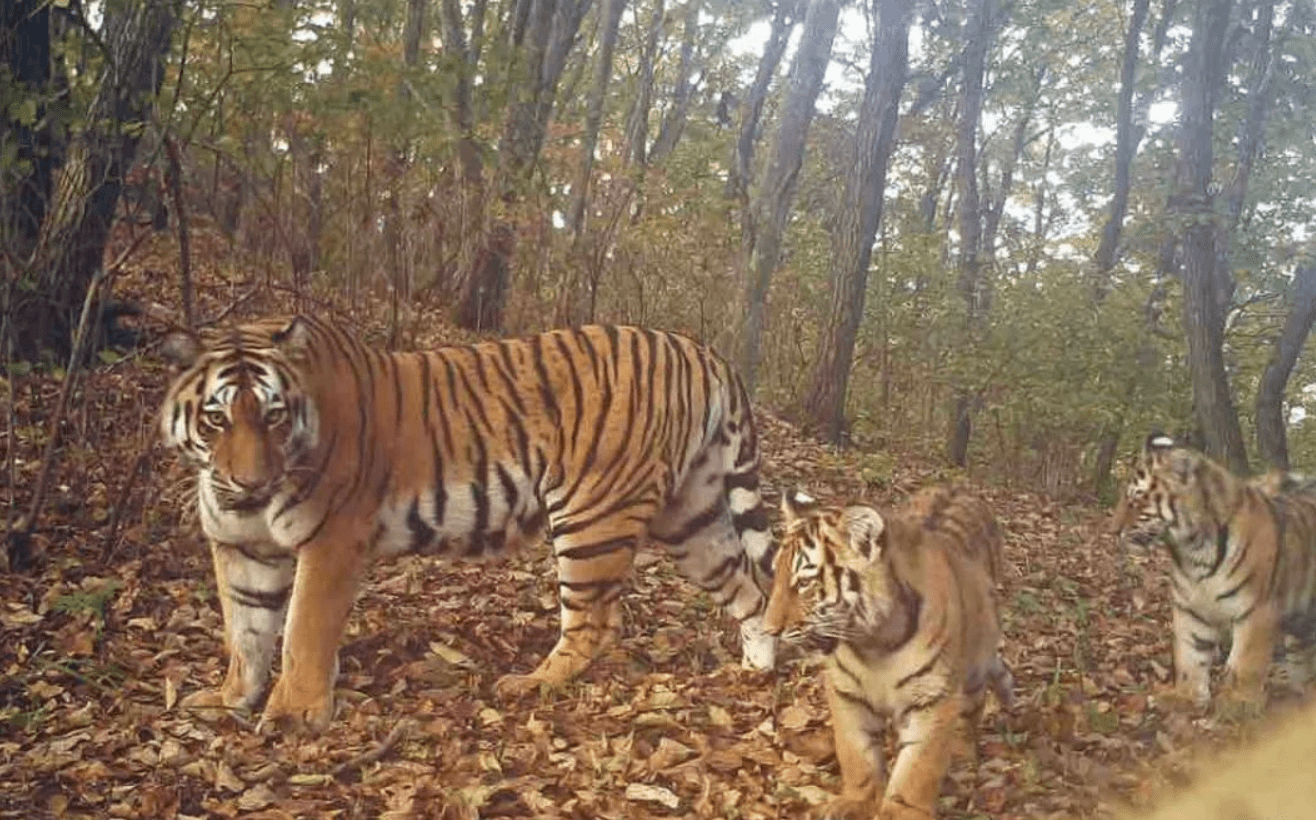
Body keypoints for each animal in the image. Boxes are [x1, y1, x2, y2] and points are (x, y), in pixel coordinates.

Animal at [159, 315, 778, 731]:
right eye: (216, 419)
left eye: (273, 415)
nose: (251, 482)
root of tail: (701, 351)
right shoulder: (242, 548)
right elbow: (245, 630)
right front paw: (229, 699)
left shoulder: (331, 540)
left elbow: (301, 633)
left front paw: (293, 716)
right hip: (692, 518)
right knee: (751, 589)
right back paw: (758, 671)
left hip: (592, 514)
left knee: (597, 622)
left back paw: (531, 684)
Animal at [763, 485, 1013, 820]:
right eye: (775, 574)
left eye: (804, 583)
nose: (768, 630)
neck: (875, 644)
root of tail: (959, 489)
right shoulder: (847, 693)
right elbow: (856, 754)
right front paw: (857, 801)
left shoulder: (933, 698)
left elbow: (918, 770)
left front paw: (900, 811)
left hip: (975, 664)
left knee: (972, 707)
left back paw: (962, 753)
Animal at [1113, 433, 1316, 709]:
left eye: (1138, 499)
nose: (1113, 530)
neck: (1193, 551)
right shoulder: (1190, 609)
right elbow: (1190, 657)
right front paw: (1185, 697)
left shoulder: (1257, 611)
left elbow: (1246, 665)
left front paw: (1238, 704)